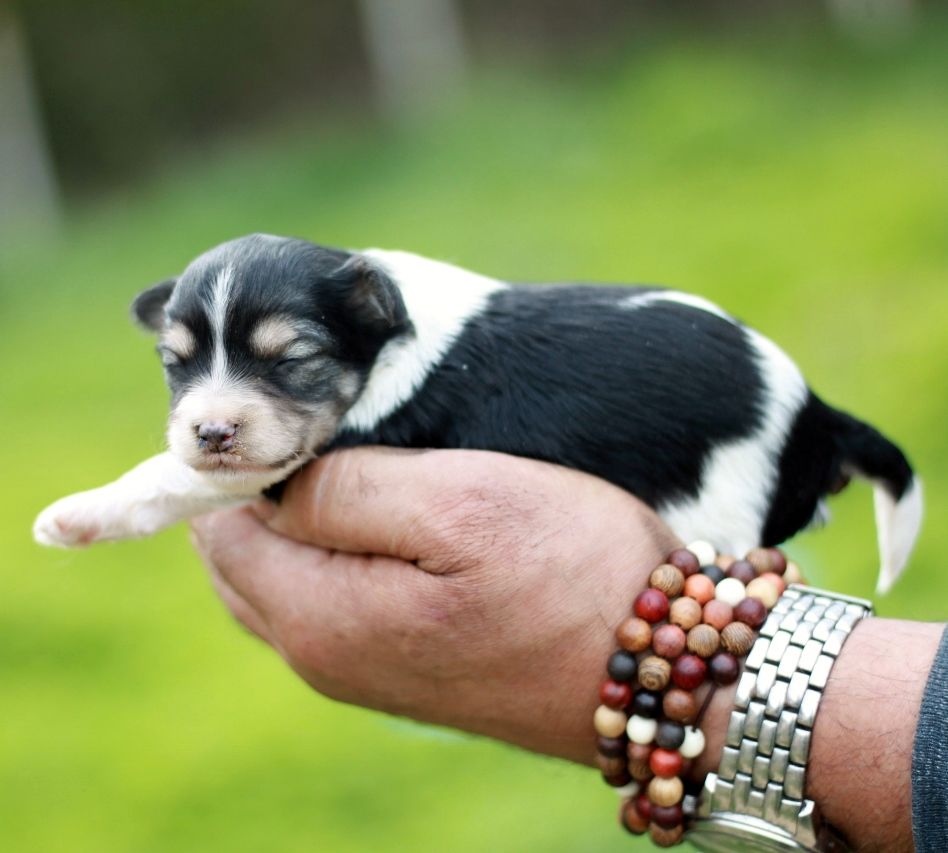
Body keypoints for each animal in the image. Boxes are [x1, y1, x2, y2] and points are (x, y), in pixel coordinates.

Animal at [33, 233, 924, 592]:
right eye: (174, 365)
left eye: (293, 360)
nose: (212, 429)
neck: (387, 336)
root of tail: (816, 414)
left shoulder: (299, 460)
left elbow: (170, 476)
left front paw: (71, 514)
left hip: (723, 504)